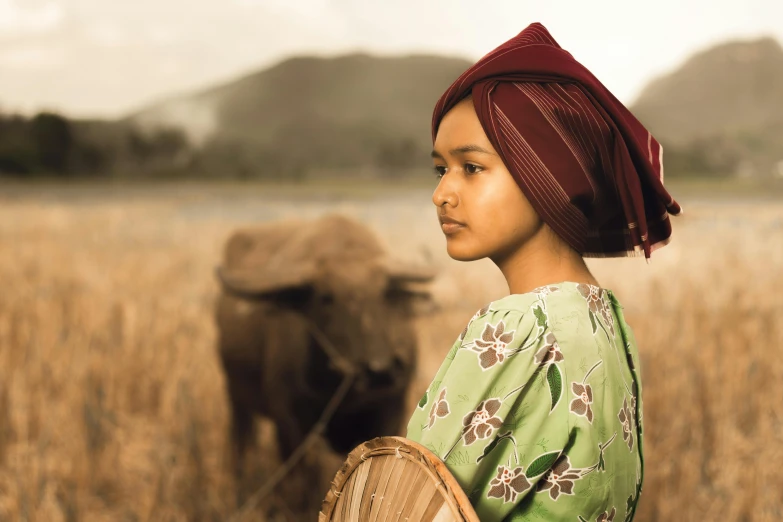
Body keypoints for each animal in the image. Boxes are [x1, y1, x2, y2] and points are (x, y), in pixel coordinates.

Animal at [211, 214, 438, 480]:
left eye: (384, 294)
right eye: (326, 297)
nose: (380, 371)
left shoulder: (391, 407)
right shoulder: (290, 421)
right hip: (236, 398)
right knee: (241, 443)